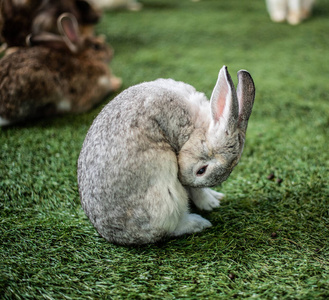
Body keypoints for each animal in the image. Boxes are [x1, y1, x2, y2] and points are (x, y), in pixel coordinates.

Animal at [76, 64, 254, 245]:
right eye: (201, 171)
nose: (183, 180)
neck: (196, 128)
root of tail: (116, 236)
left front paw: (213, 200)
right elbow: (195, 190)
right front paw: (209, 203)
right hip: (167, 194)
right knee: (169, 228)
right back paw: (199, 223)